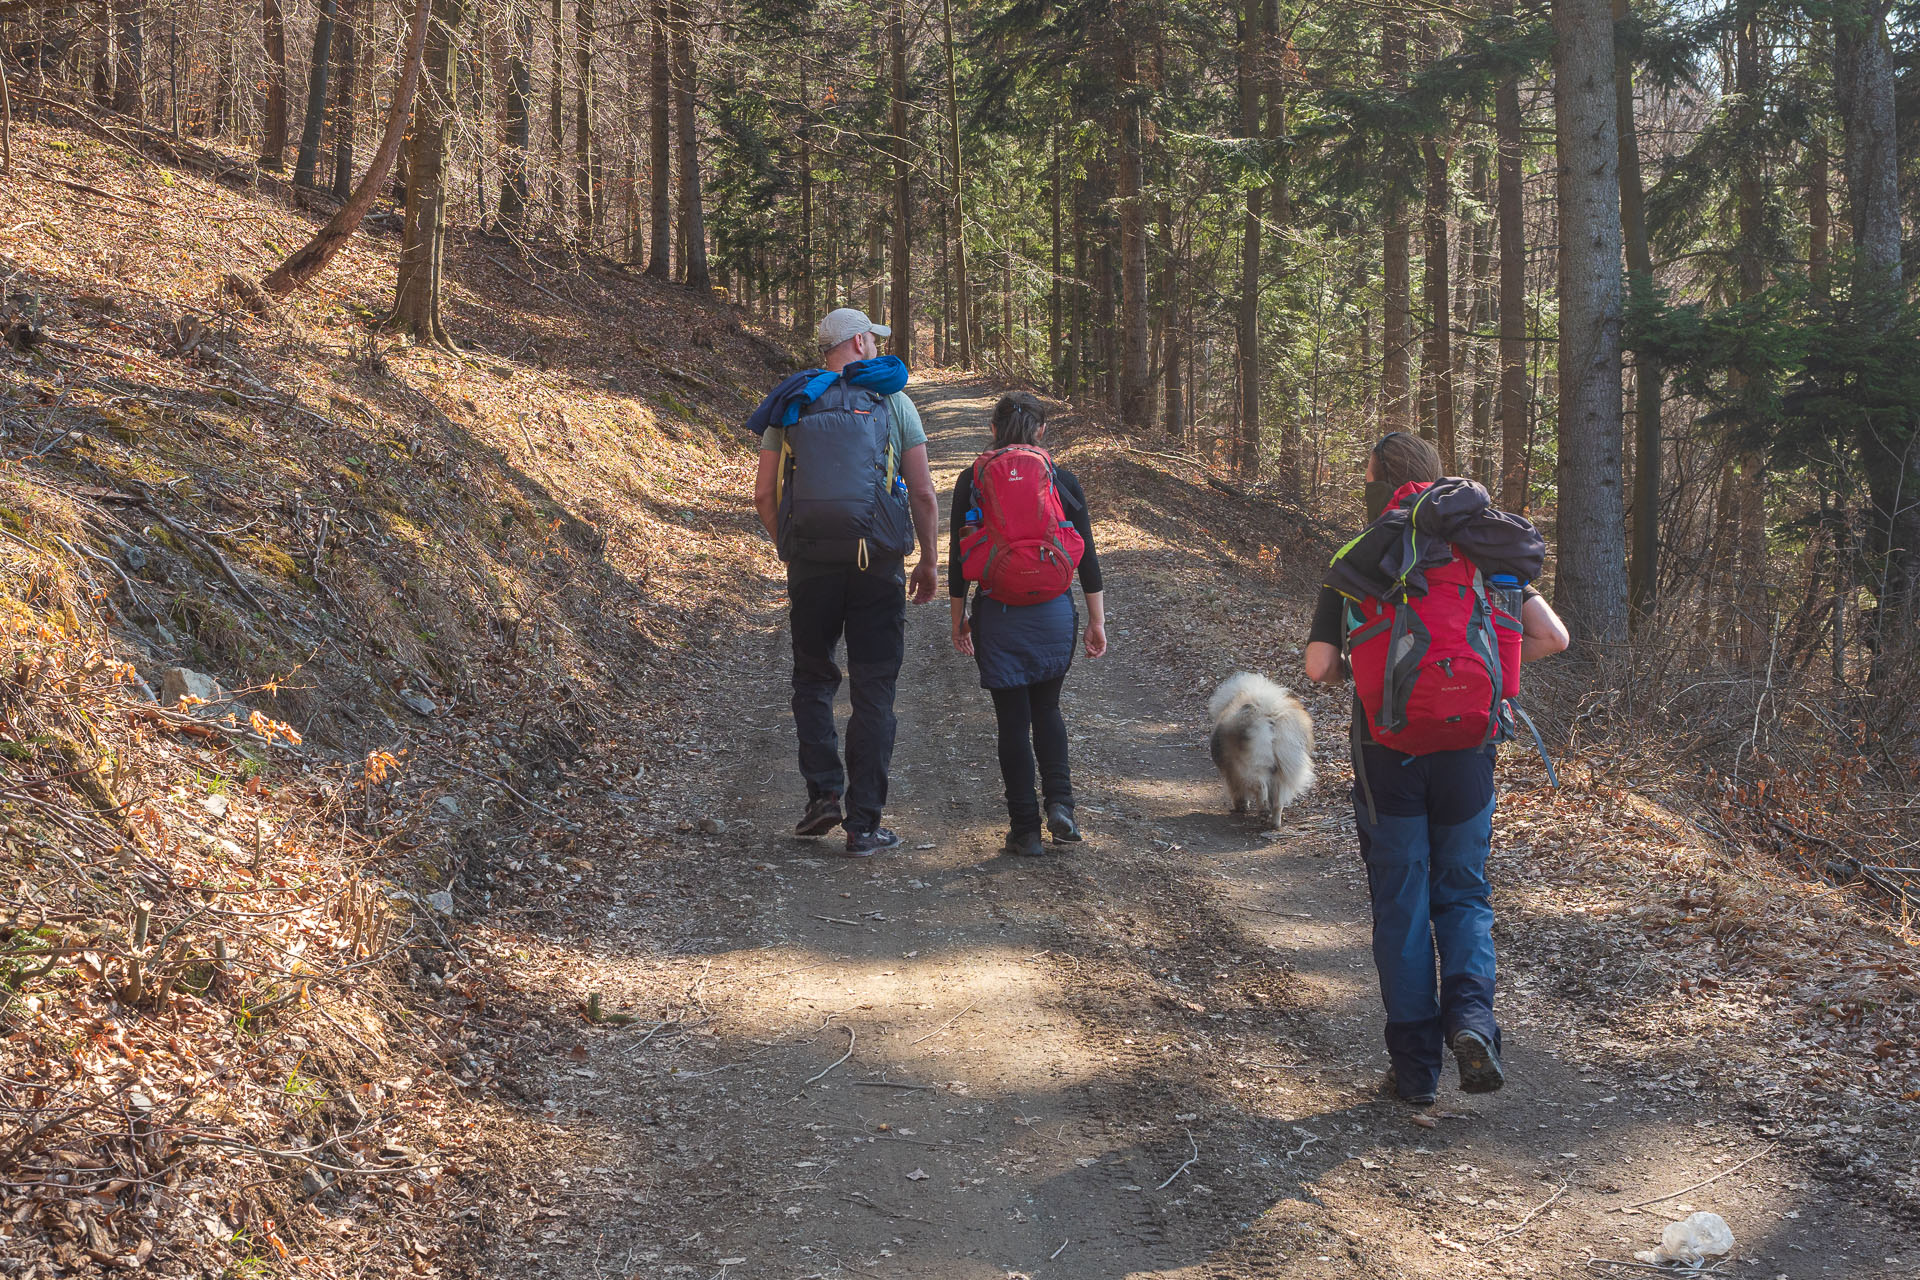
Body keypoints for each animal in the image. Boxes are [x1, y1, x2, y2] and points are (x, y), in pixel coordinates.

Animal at [1205, 671, 1313, 832]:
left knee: (1260, 787)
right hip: (1284, 770)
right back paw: (1274, 823)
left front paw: (1240, 807)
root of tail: (1271, 715)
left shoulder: (1231, 773)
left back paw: (1263, 813)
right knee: (1277, 802)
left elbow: (1237, 791)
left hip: (1253, 765)